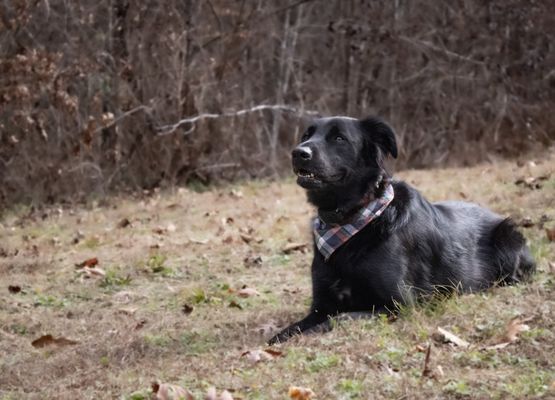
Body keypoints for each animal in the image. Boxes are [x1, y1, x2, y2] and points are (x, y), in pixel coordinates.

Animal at [268, 115, 536, 344]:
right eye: (307, 135)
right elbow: (289, 330)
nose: (298, 152)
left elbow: (338, 319)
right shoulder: (321, 306)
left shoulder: (400, 305)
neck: (351, 219)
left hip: (508, 238)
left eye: (339, 138)